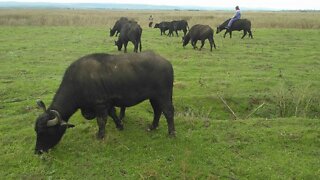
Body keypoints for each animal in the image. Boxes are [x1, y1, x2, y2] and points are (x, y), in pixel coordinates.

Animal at [34, 51, 175, 154]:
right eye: (36, 130)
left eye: (46, 132)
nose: (38, 151)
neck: (78, 82)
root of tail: (167, 62)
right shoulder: (108, 103)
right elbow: (113, 114)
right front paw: (119, 125)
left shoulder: (100, 104)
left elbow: (101, 120)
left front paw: (100, 135)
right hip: (154, 97)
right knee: (157, 110)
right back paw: (153, 126)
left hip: (163, 95)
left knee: (168, 112)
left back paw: (171, 133)